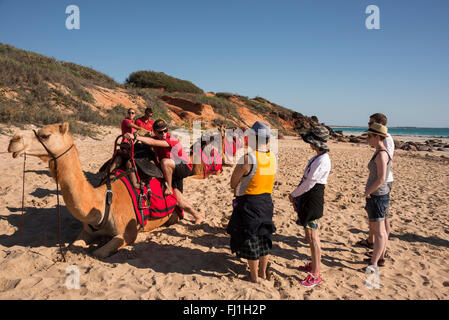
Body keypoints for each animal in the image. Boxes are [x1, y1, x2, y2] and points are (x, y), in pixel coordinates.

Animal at [7, 122, 180, 258]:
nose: (13, 140)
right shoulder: (87, 231)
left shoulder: (128, 233)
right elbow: (73, 245)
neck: (104, 201)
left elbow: (99, 253)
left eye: (45, 135)